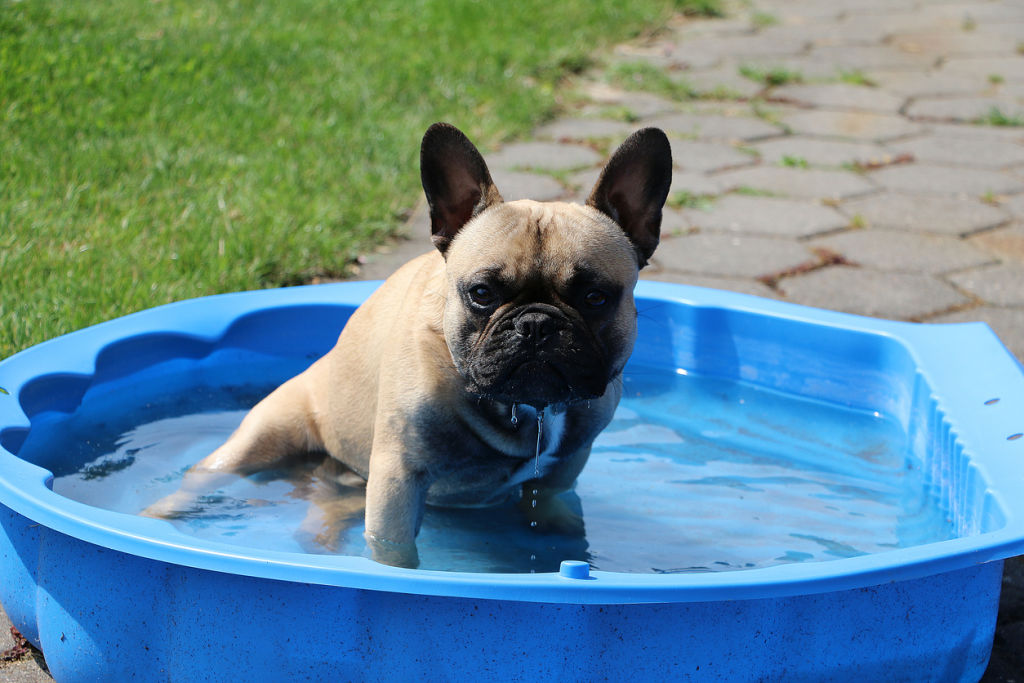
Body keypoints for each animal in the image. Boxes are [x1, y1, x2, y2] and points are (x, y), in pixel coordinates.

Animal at [144, 121, 671, 565]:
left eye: (596, 297)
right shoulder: (398, 479)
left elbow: (555, 511)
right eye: (482, 294)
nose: (536, 324)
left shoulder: (564, 471)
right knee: (205, 477)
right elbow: (395, 550)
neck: (523, 409)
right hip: (263, 436)